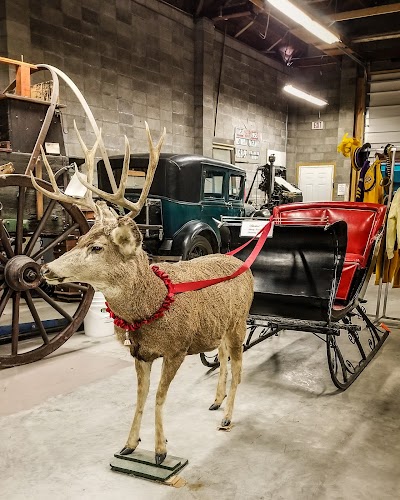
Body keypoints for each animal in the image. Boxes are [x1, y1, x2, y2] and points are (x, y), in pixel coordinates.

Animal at [32, 124, 255, 464]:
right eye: (80, 238)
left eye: (97, 248)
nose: (46, 268)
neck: (155, 301)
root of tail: (241, 264)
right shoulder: (140, 354)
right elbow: (140, 397)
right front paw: (129, 444)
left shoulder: (176, 349)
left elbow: (160, 397)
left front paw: (161, 450)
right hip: (218, 326)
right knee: (223, 356)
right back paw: (217, 401)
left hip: (239, 321)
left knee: (239, 366)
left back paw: (228, 417)